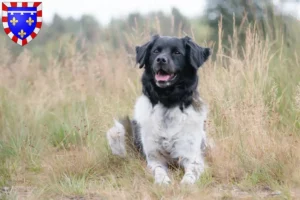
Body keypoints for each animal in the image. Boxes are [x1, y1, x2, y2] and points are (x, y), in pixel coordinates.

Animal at [106, 34, 212, 186]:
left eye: (177, 52)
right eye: (156, 51)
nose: (161, 59)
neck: (167, 102)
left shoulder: (191, 156)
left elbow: (191, 172)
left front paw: (186, 184)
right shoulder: (154, 158)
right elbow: (159, 171)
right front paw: (163, 182)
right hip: (116, 132)